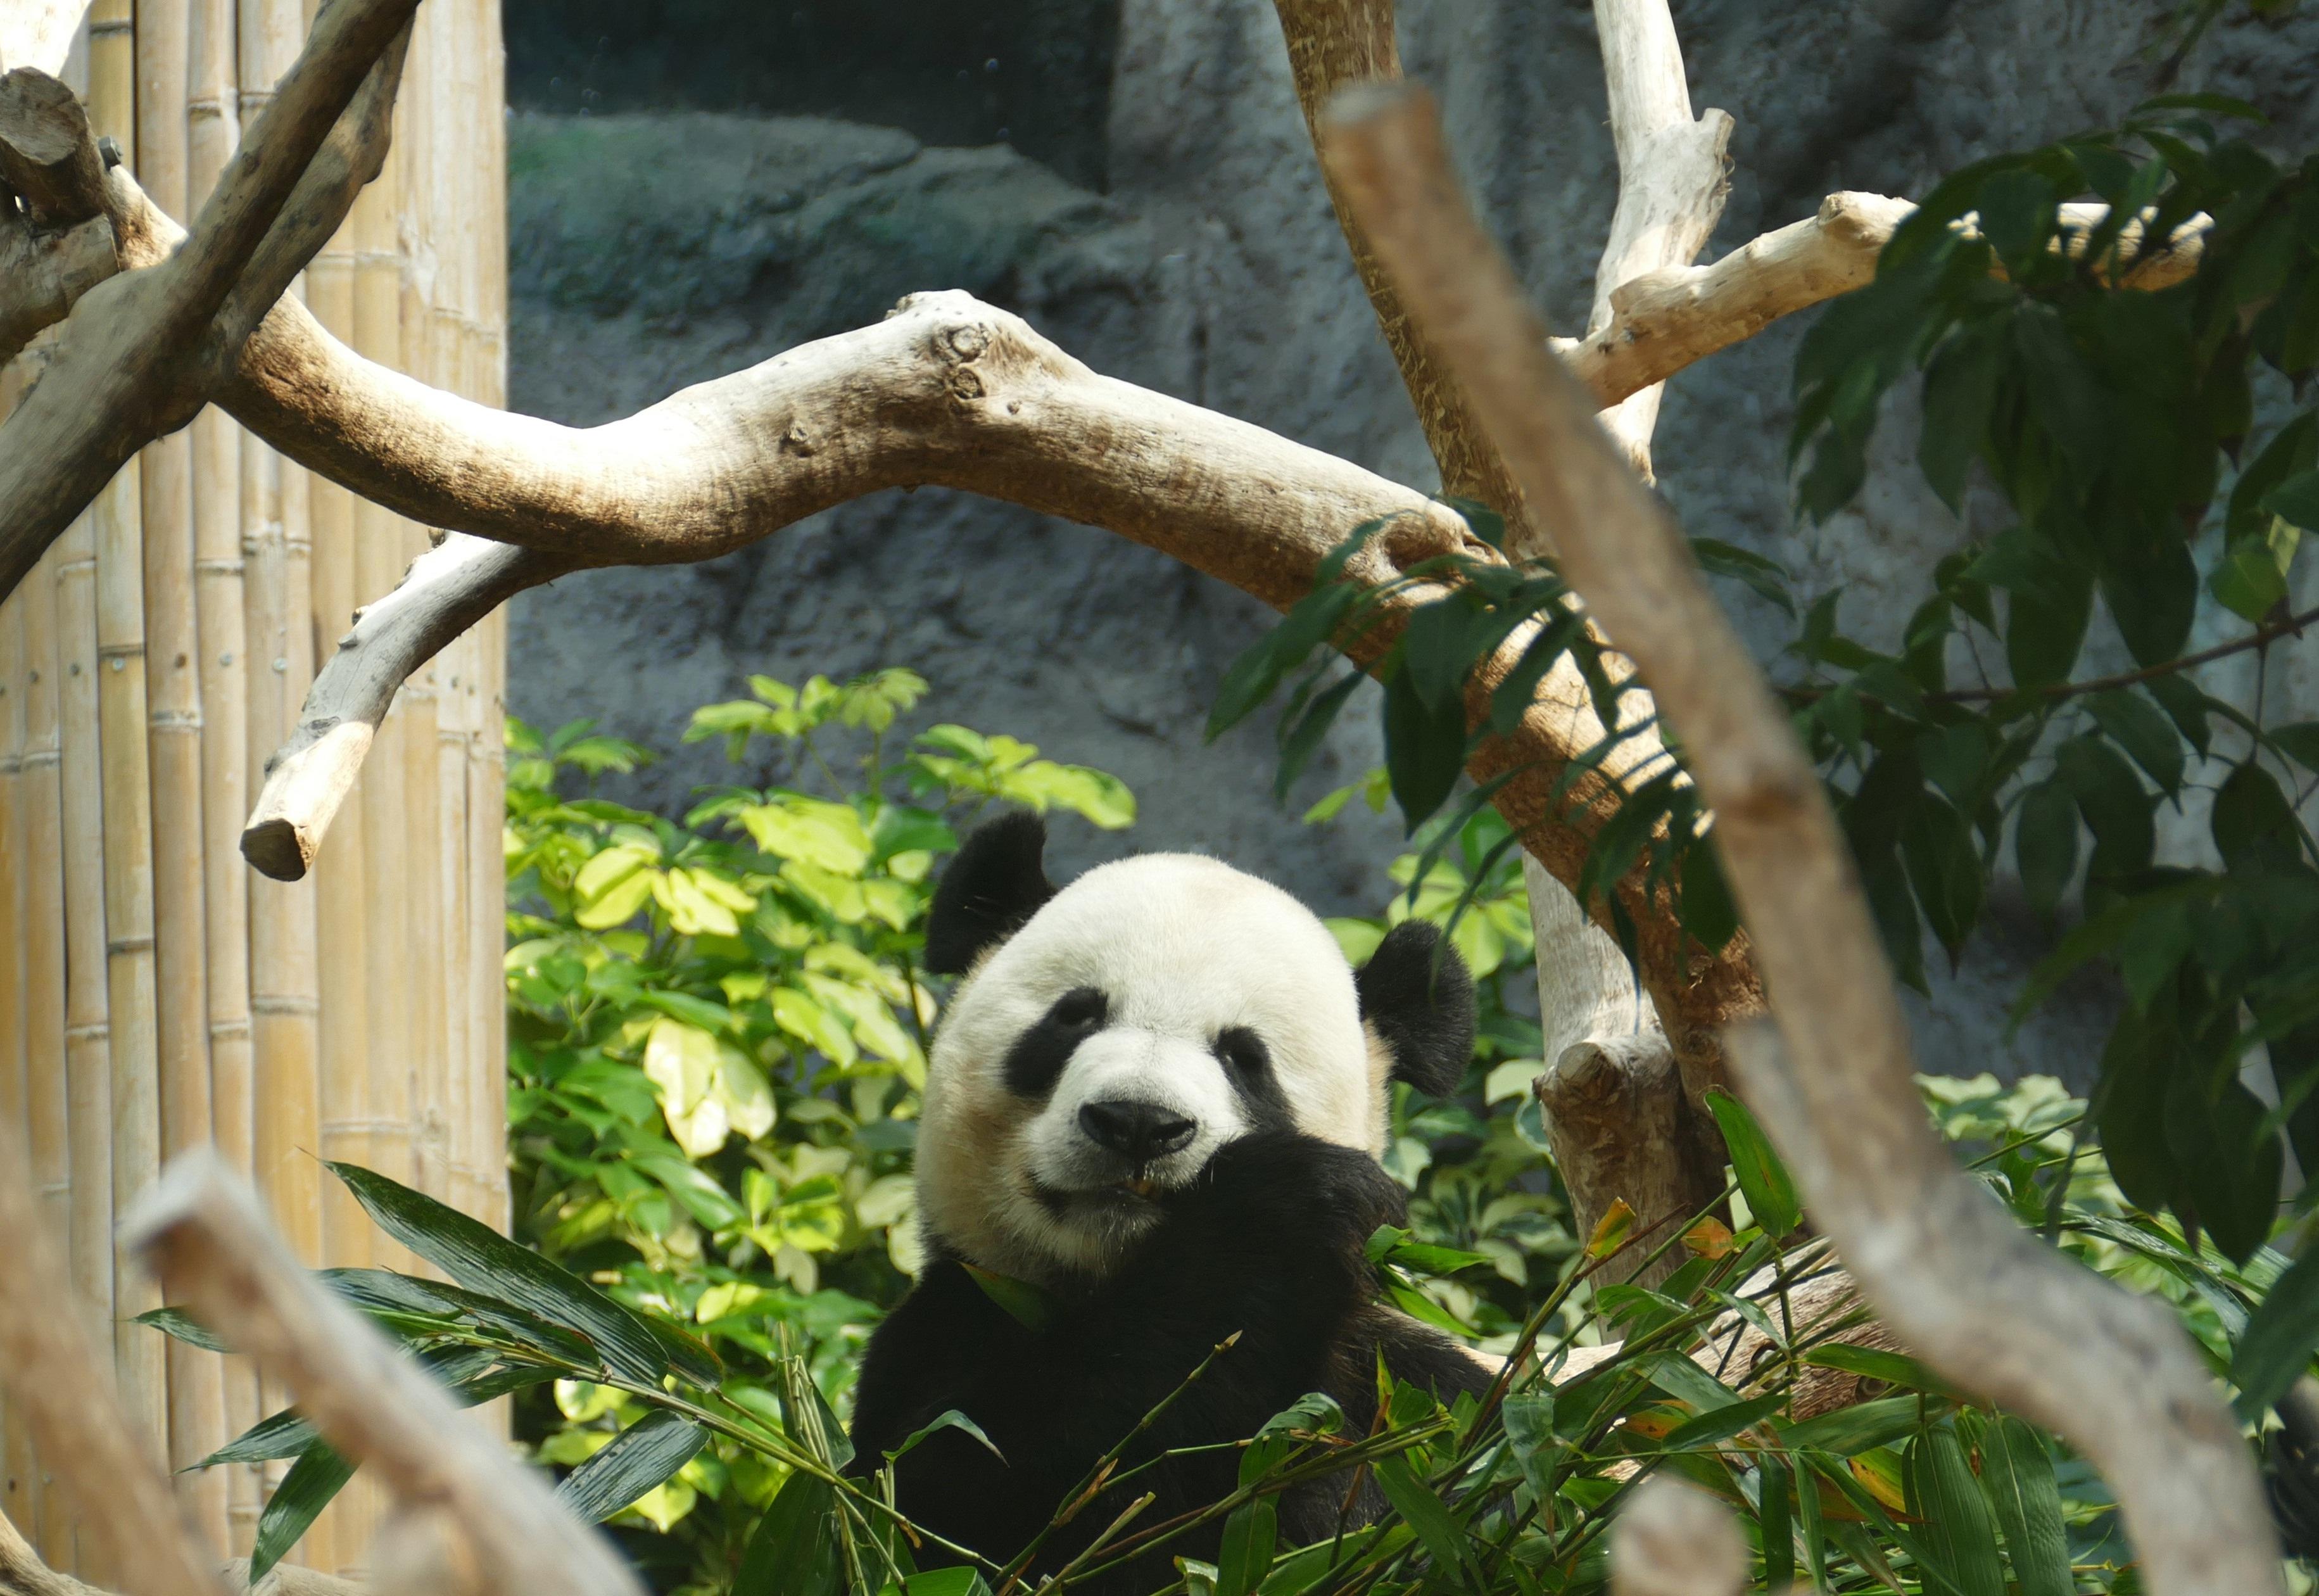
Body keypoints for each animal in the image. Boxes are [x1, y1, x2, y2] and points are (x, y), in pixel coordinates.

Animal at [848, 812, 1496, 1592]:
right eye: (1074, 1016)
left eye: (1245, 1058)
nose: (1138, 1123)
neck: (1116, 1274)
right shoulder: (949, 1326)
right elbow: (968, 1503)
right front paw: (1282, 1209)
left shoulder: (1408, 1389)